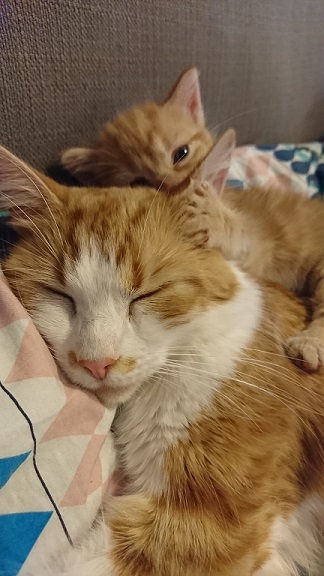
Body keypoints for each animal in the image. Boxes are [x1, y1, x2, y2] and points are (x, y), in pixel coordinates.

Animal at [60, 68, 324, 374]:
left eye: (181, 153)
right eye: (138, 181)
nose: (176, 186)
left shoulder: (255, 247)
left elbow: (239, 236)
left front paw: (211, 216)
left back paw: (310, 343)